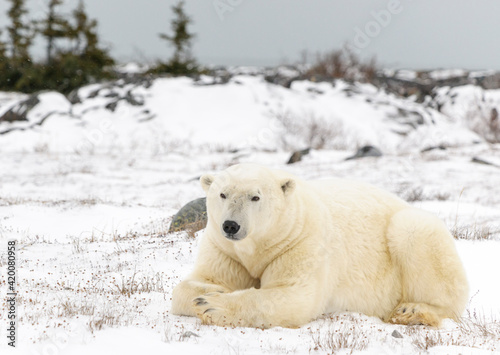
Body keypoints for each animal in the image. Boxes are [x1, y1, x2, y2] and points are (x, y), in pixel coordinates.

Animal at [172, 165, 468, 330]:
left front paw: (211, 305)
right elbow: (195, 283)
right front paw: (212, 290)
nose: (231, 225)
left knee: (416, 236)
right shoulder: (224, 248)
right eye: (222, 194)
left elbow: (294, 295)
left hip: (412, 231)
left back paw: (413, 311)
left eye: (255, 197)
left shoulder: (301, 243)